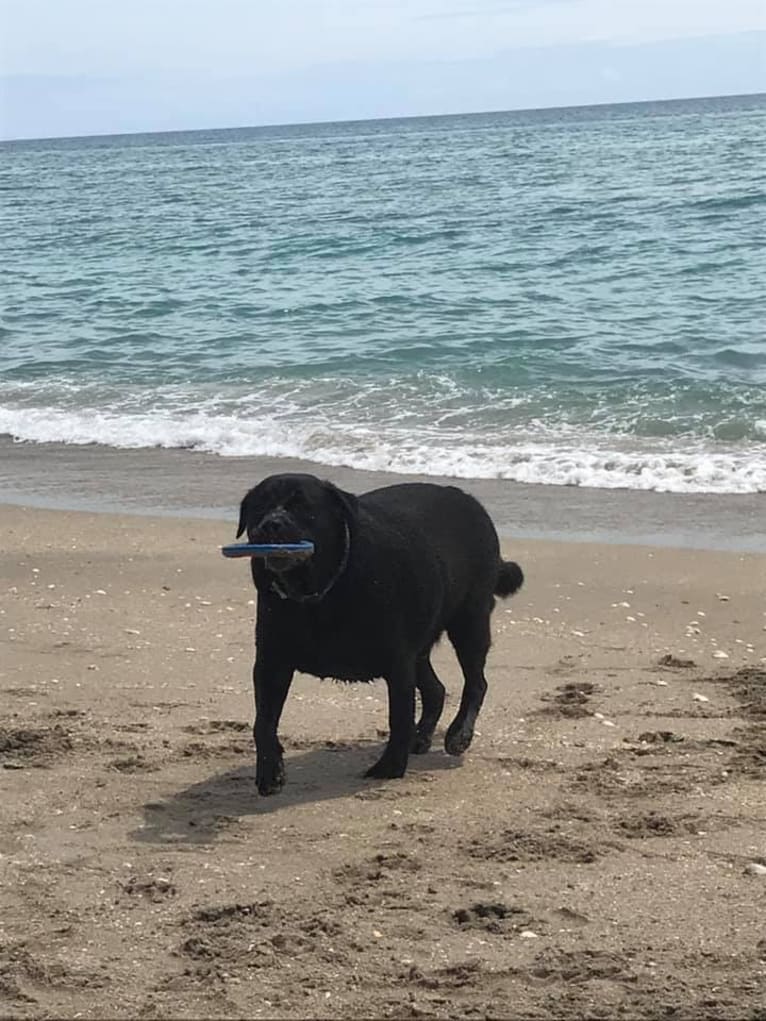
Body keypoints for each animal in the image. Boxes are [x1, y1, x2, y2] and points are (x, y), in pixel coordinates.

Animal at [236, 471, 527, 796]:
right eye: (259, 507)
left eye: (302, 506)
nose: (271, 524)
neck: (319, 594)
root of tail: (469, 500)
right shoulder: (271, 663)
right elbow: (263, 722)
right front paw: (269, 771)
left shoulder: (397, 662)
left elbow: (398, 717)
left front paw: (390, 767)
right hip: (422, 643)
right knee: (436, 689)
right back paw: (421, 737)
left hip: (469, 621)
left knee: (476, 682)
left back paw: (459, 734)